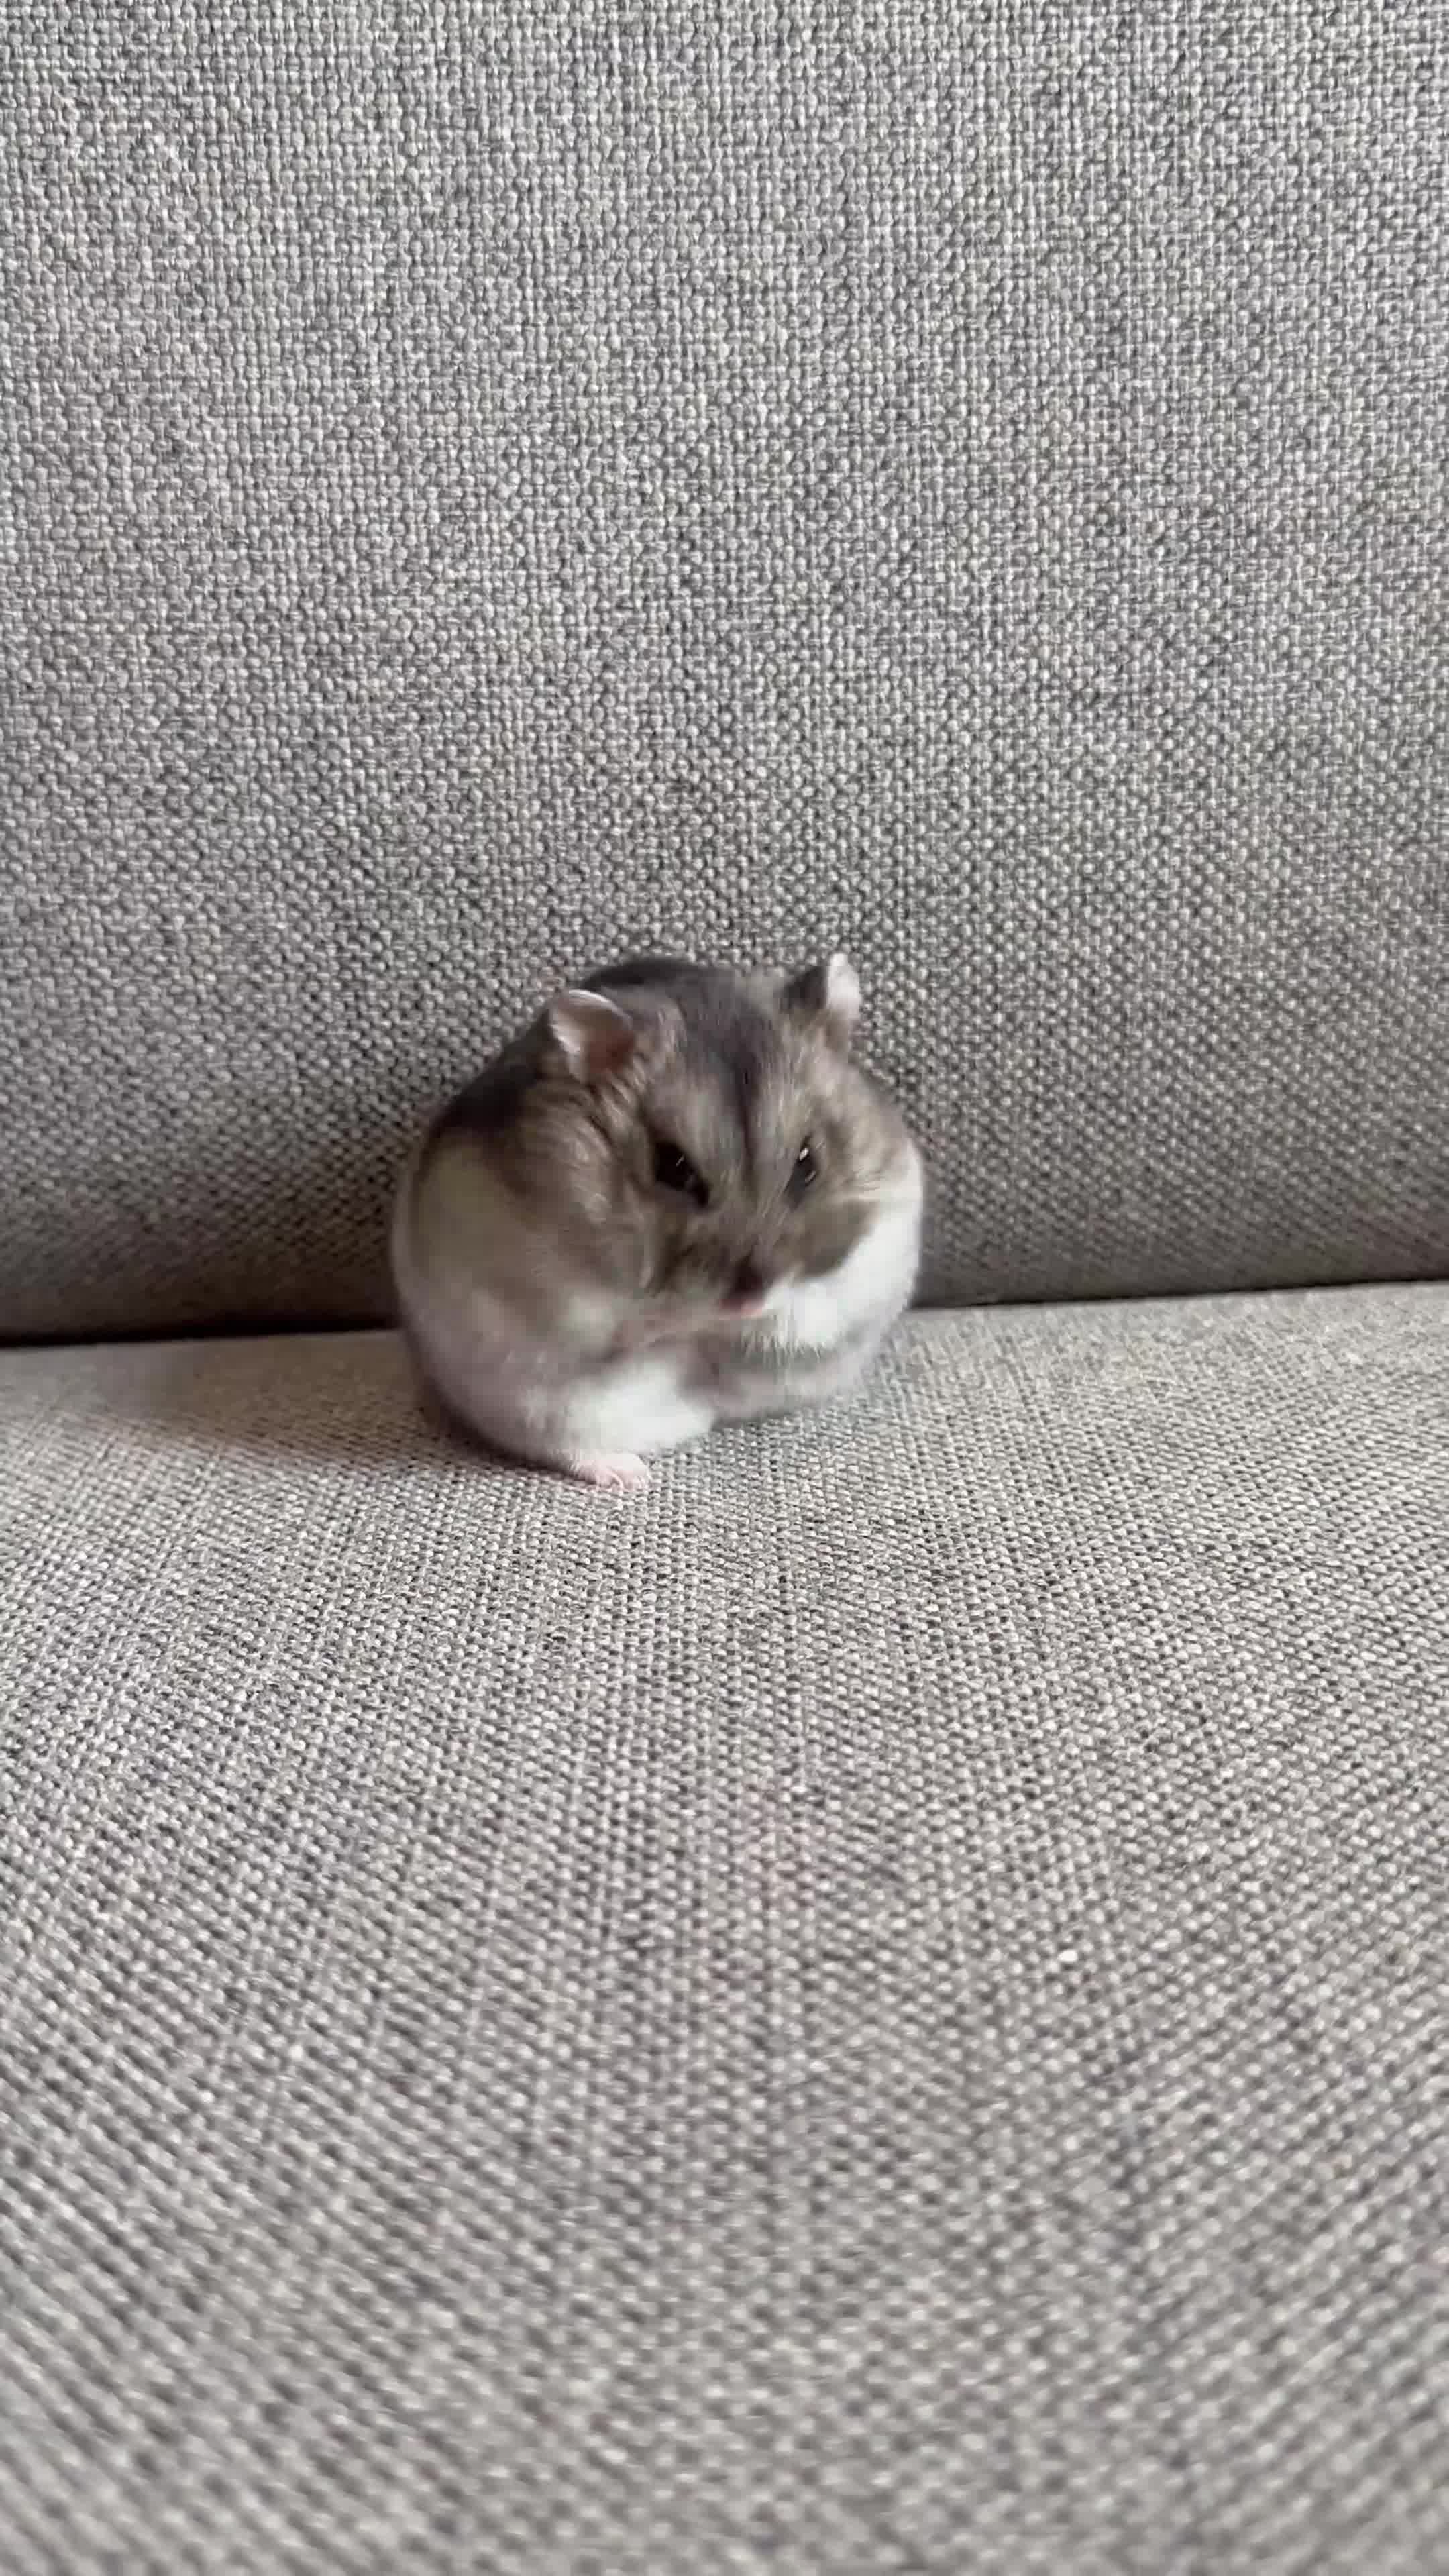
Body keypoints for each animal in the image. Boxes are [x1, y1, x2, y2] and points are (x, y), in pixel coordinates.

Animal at [391, 954, 923, 1489]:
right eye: (674, 1168)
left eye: (807, 1164)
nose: (746, 1302)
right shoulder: (552, 1295)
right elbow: (634, 1323)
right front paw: (678, 1321)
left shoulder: (871, 1256)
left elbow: (801, 1312)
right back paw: (628, 1475)